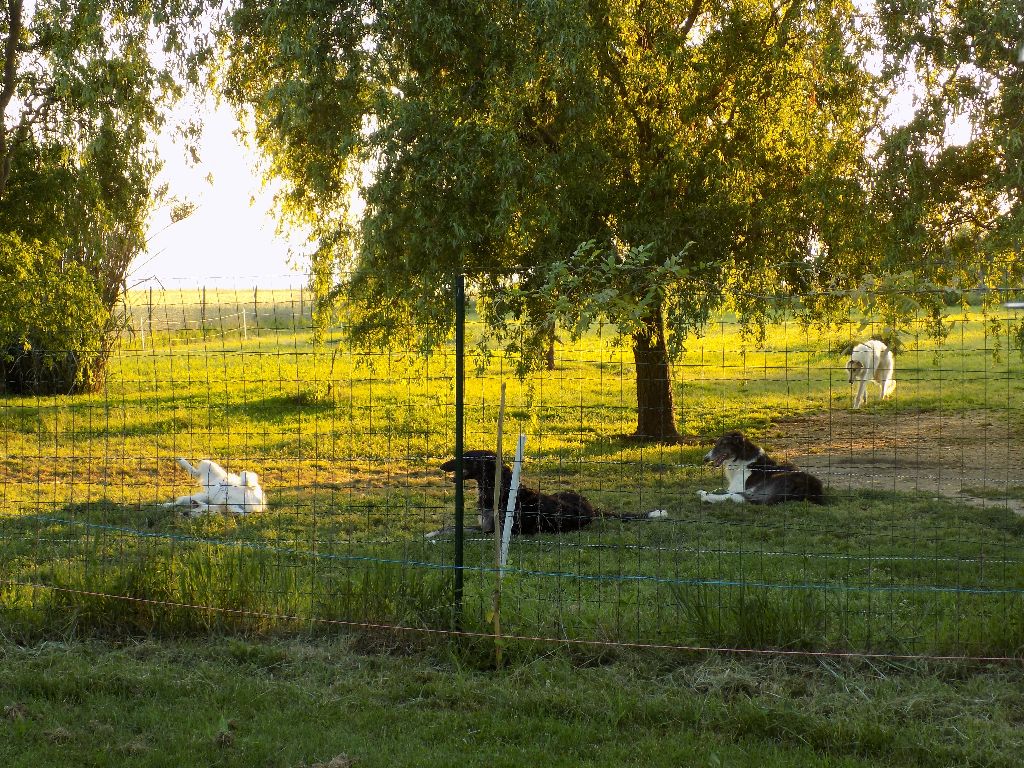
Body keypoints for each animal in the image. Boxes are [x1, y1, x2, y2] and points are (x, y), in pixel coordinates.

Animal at [430, 448, 671, 536]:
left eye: (465, 457)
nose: (441, 466)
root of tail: (592, 508)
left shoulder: (496, 533)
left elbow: (458, 532)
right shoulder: (484, 526)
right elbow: (450, 527)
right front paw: (430, 534)